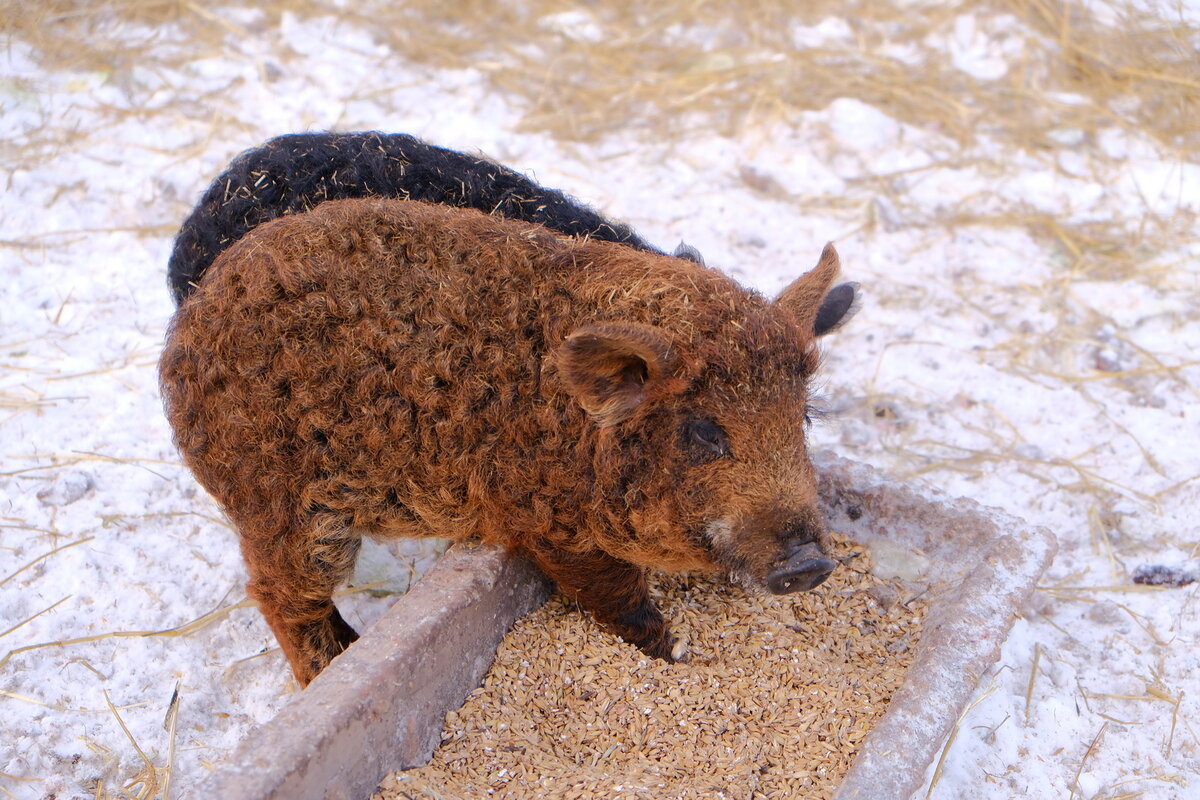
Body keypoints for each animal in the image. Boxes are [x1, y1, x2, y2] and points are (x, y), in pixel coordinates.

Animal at [159, 195, 859, 690]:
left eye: (802, 418)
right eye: (705, 430)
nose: (809, 564)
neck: (578, 433)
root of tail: (190, 321)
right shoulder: (548, 523)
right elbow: (616, 595)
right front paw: (675, 652)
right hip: (279, 499)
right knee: (280, 596)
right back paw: (333, 669)